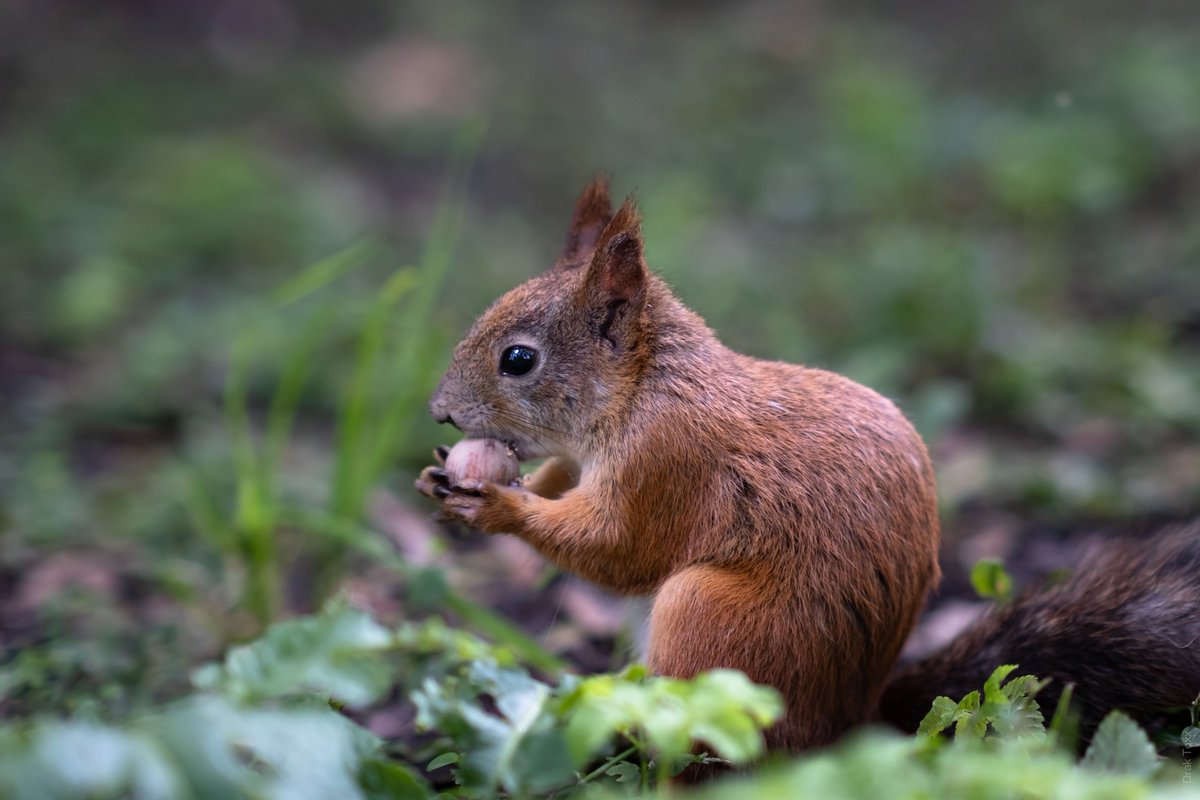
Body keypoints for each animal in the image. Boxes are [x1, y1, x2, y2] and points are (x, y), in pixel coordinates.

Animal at [415, 175, 1199, 752]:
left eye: (519, 360)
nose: (440, 412)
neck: (642, 391)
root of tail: (850, 721)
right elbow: (564, 483)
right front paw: (451, 478)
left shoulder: (668, 463)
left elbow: (620, 547)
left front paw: (496, 506)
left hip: (716, 620)